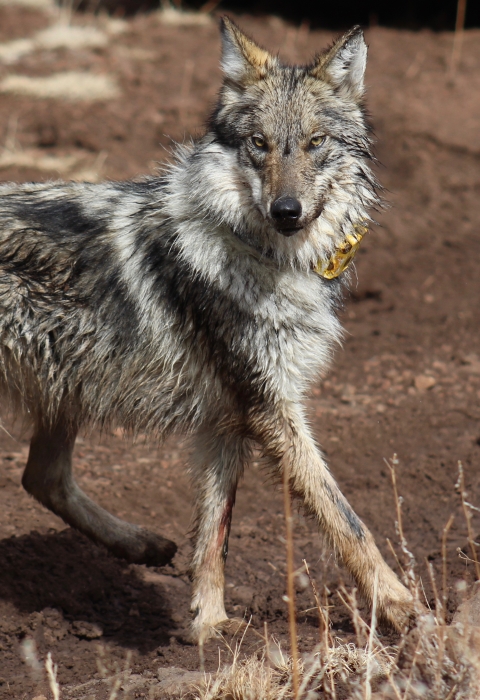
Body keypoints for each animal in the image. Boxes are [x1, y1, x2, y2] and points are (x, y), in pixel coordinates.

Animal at [0, 18, 415, 641]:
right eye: (259, 144)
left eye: (315, 143)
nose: (286, 210)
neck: (267, 258)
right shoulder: (270, 408)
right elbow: (346, 520)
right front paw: (403, 608)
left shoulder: (230, 416)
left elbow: (215, 534)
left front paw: (210, 631)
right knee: (40, 478)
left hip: (65, 386)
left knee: (41, 478)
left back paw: (140, 545)